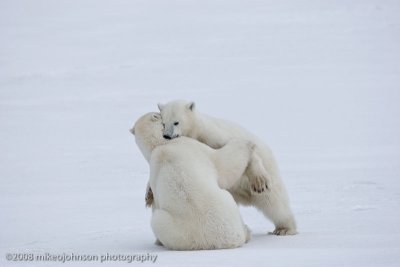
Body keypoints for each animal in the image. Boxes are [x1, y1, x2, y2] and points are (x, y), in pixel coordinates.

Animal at [130, 112, 264, 250]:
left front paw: (148, 195)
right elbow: (223, 163)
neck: (160, 145)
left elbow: (154, 200)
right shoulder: (192, 146)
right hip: (225, 205)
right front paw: (247, 143)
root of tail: (210, 242)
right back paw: (246, 231)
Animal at [158, 100, 298, 237]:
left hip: (269, 169)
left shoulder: (210, 135)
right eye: (163, 123)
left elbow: (236, 147)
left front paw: (259, 182)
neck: (195, 132)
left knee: (274, 202)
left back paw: (284, 229)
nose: (167, 136)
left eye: (176, 122)